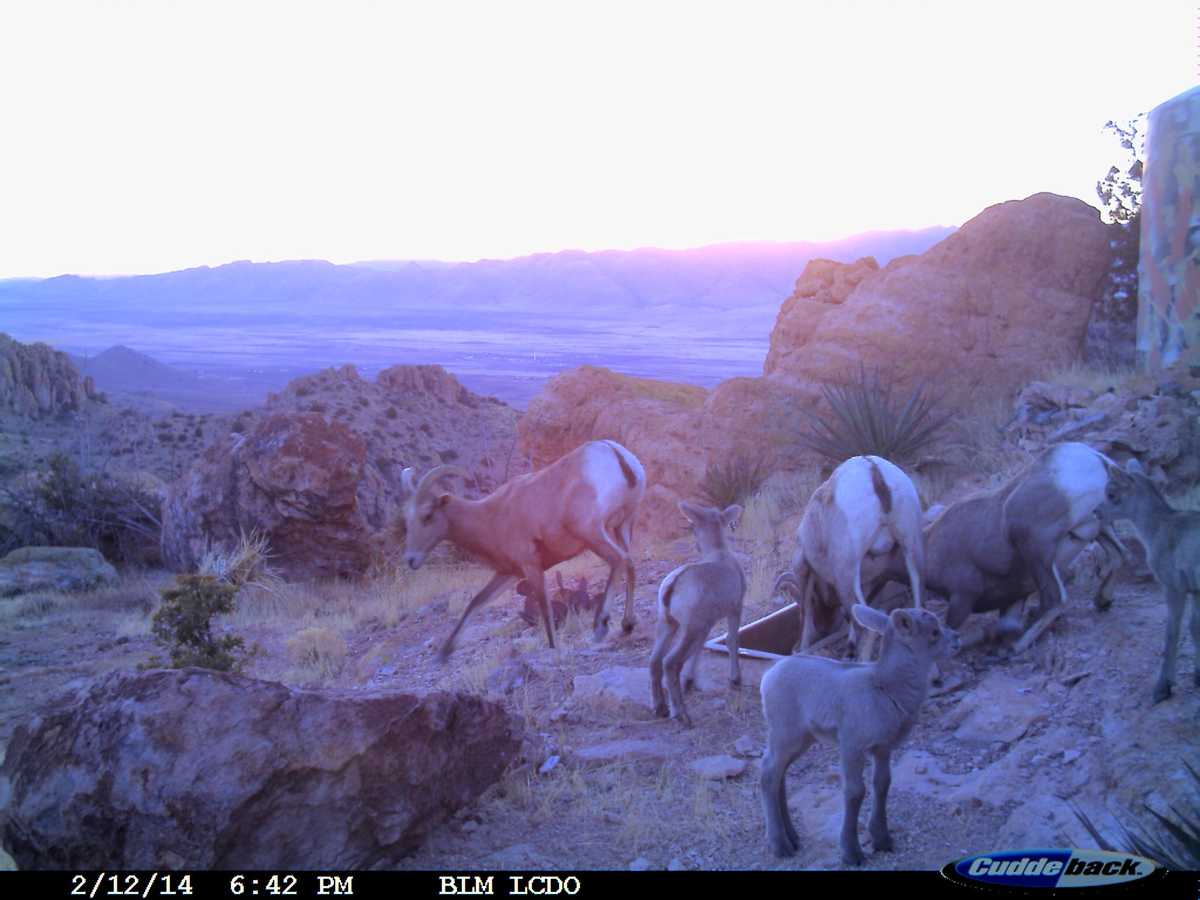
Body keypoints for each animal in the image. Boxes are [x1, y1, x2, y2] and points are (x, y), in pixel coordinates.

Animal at [400, 441, 648, 657]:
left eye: (427, 515)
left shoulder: (532, 567)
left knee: (619, 560)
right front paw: (444, 653)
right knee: (630, 564)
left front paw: (553, 648)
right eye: (407, 519)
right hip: (623, 526)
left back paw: (600, 626)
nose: (411, 560)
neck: (490, 516)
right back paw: (627, 624)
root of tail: (615, 453)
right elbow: (476, 601)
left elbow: (545, 610)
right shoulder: (508, 573)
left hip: (592, 533)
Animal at [652, 504, 744, 729]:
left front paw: (690, 681)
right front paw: (735, 680)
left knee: (655, 660)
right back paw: (681, 714)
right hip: (690, 627)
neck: (719, 551)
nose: (696, 545)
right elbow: (732, 641)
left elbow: (700, 649)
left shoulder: (708, 623)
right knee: (670, 662)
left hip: (668, 623)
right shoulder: (735, 607)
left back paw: (660, 707)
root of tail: (671, 587)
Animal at [758, 607, 955, 868]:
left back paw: (793, 838)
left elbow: (882, 784)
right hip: (784, 732)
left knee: (779, 774)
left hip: (800, 738)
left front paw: (883, 840)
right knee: (769, 773)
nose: (957, 639)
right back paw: (780, 845)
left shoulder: (883, 747)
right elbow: (855, 792)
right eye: (933, 632)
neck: (885, 687)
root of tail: (768, 676)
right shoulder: (852, 745)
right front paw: (852, 853)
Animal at [772, 458, 921, 662]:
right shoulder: (876, 580)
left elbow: (806, 613)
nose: (825, 629)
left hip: (846, 575)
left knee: (866, 624)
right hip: (911, 549)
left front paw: (802, 649)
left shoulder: (804, 570)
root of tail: (874, 471)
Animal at [1099, 458, 1195, 705]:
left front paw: (1163, 688)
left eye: (1111, 493)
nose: (1096, 512)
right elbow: (1194, 628)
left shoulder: (1174, 586)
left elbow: (1173, 632)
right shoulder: (1196, 590)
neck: (1159, 529)